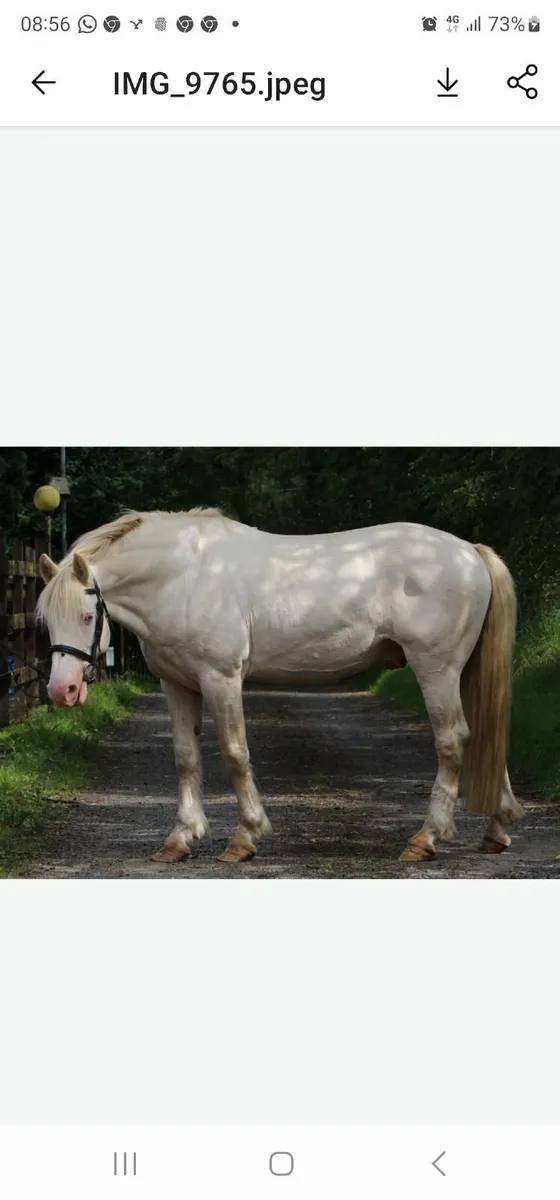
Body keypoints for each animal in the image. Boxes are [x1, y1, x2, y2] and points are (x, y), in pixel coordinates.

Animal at [37, 508, 524, 865]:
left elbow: (235, 754)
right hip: (462, 671)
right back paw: (497, 830)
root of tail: (469, 551)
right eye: (46, 621)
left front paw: (245, 837)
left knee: (453, 740)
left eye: (86, 615)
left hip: (436, 668)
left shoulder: (221, 678)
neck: (184, 576)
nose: (63, 691)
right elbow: (185, 758)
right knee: (487, 736)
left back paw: (426, 838)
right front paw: (179, 839)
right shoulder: (177, 685)